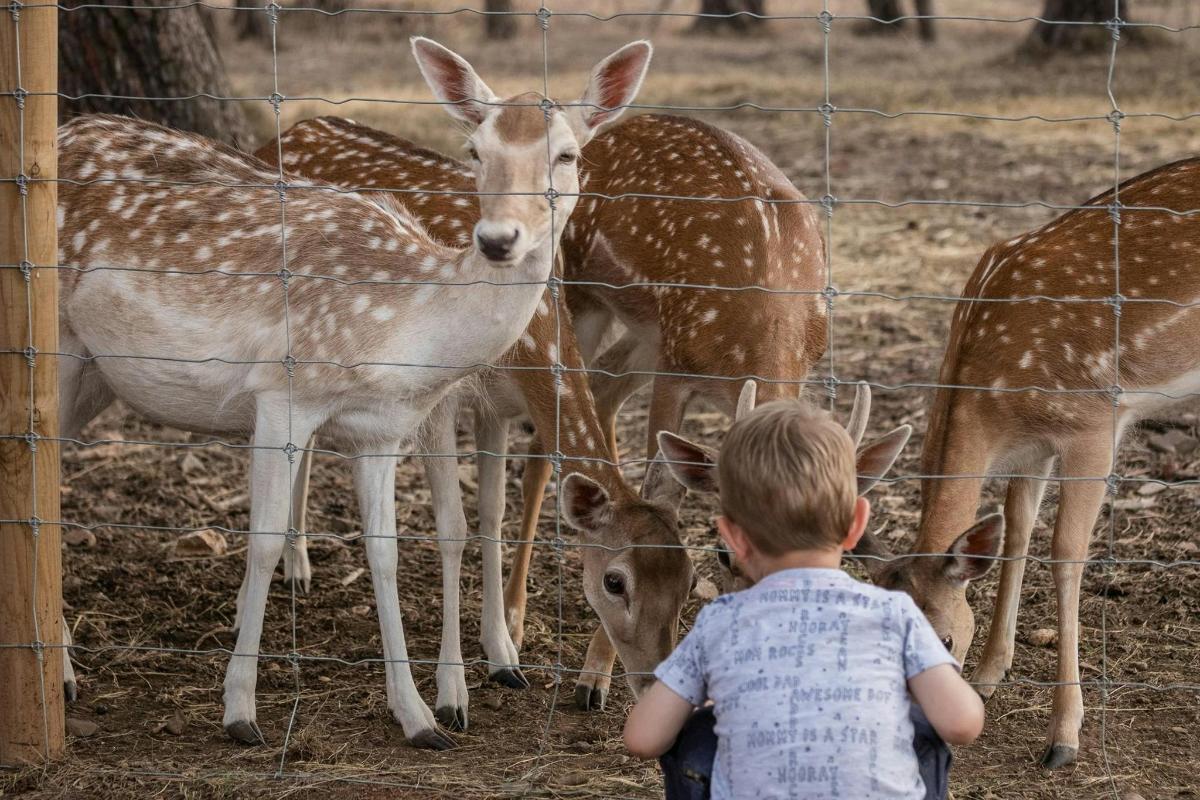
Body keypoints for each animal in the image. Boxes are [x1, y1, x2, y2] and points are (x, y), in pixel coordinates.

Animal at [54, 35, 648, 753]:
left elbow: (386, 553)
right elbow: (263, 539)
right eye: (475, 150)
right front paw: (240, 711)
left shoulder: (383, 429)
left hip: (94, 371)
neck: (407, 324)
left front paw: (419, 717)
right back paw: (62, 674)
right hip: (51, 344)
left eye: (567, 154)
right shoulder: (283, 393)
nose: (498, 239)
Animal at [258, 109, 830, 710]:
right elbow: (453, 526)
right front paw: (453, 691)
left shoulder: (497, 406)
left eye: (687, 581)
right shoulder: (442, 399)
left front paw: (503, 657)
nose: (651, 680)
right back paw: (296, 568)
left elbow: (492, 515)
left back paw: (299, 564)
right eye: (614, 581)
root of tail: (294, 129)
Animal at [854, 155, 1200, 767]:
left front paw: (1064, 736)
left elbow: (1065, 554)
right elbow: (1016, 534)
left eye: (945, 638)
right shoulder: (1031, 445)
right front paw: (991, 675)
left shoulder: (1094, 426)